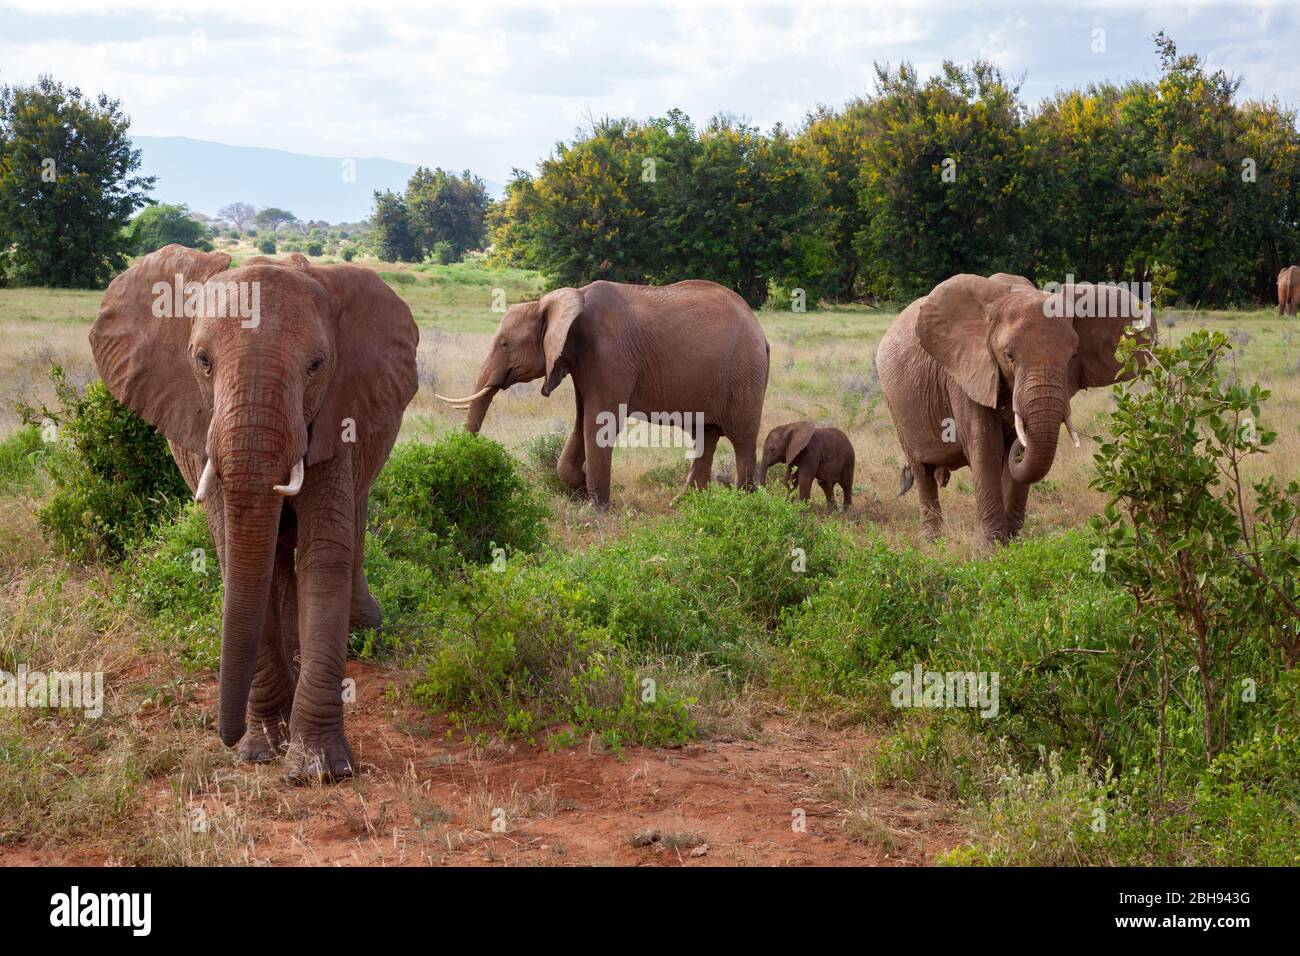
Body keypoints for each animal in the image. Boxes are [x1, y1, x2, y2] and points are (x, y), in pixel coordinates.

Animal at [444, 278, 769, 509]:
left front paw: (597, 509)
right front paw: (581, 487)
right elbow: (581, 420)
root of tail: (761, 332)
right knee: (705, 436)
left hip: (745, 374)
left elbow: (598, 423)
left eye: (504, 345)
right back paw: (683, 504)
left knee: (742, 440)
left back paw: (746, 505)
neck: (565, 300)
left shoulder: (609, 355)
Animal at [873, 274, 1149, 546]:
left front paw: (1012, 546)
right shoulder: (967, 372)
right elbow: (985, 447)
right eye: (1009, 356)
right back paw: (933, 541)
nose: (1019, 444)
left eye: (1072, 357)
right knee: (922, 471)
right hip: (895, 403)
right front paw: (991, 549)